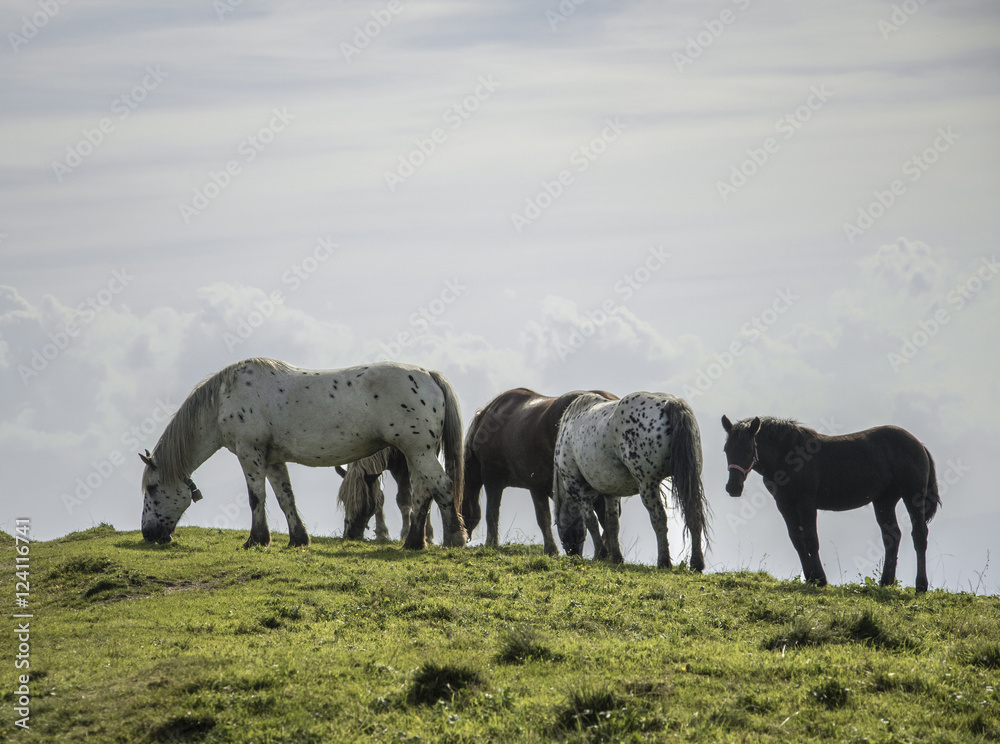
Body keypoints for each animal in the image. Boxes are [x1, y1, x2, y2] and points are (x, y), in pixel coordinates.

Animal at [139, 358, 467, 550]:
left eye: (152, 488)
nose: (148, 534)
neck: (224, 397)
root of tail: (429, 375)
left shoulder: (249, 453)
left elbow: (256, 497)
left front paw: (256, 540)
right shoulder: (272, 459)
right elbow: (285, 497)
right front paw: (298, 539)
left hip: (418, 452)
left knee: (442, 487)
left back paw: (454, 538)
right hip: (417, 455)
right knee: (424, 492)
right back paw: (414, 542)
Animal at [553, 392, 709, 569]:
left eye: (561, 530)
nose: (572, 553)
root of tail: (671, 403)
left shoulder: (577, 487)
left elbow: (591, 520)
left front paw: (601, 554)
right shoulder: (611, 492)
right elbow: (611, 522)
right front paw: (616, 557)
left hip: (647, 485)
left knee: (659, 518)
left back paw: (663, 562)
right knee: (693, 514)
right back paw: (696, 564)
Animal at [721, 415, 940, 592]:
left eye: (749, 449)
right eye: (726, 449)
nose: (733, 488)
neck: (789, 455)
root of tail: (919, 444)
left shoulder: (806, 503)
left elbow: (811, 539)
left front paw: (819, 579)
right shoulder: (784, 505)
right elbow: (797, 540)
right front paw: (810, 577)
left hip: (912, 496)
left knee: (919, 535)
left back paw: (921, 586)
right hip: (884, 500)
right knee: (892, 536)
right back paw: (886, 582)